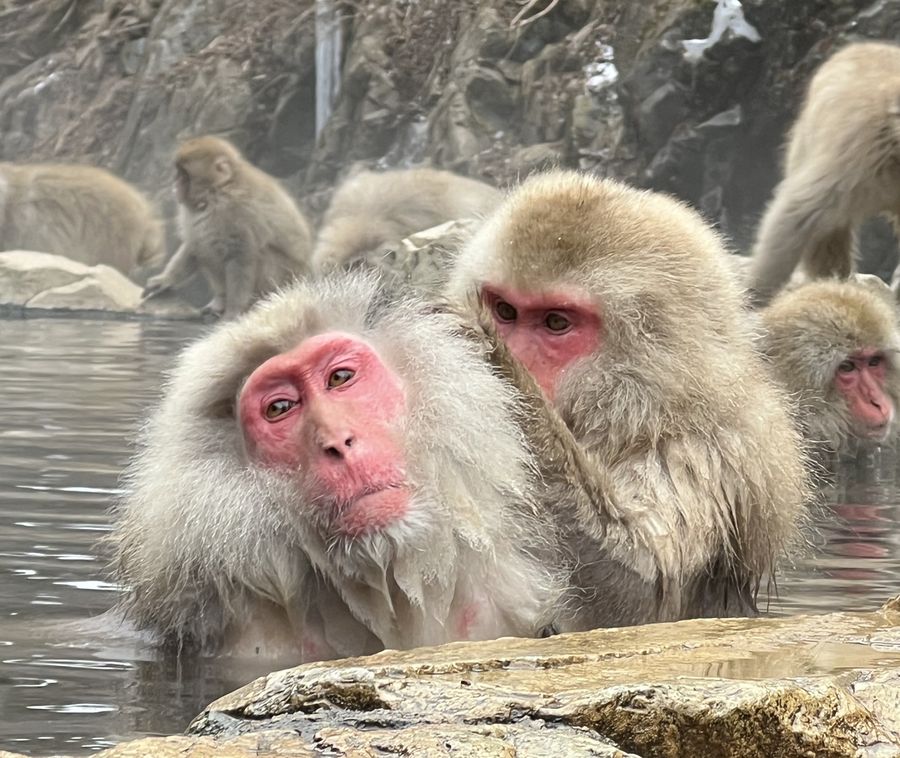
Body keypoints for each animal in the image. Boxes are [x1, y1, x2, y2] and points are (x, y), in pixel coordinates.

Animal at [143, 136, 313, 318]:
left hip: (284, 278)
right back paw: (220, 300)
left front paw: (234, 311)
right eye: (178, 172)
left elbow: (241, 256)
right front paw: (165, 279)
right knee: (204, 246)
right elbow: (193, 243)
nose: (175, 184)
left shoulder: (237, 212)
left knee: (259, 253)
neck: (217, 191)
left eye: (184, 175)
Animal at [446, 170, 809, 630]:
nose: (519, 355)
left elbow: (642, 591)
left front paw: (497, 365)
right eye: (506, 311)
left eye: (556, 322)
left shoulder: (701, 453)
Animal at [747, 41, 900, 306]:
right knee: (828, 227)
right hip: (805, 140)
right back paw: (834, 277)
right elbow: (801, 213)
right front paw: (758, 291)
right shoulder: (863, 155)